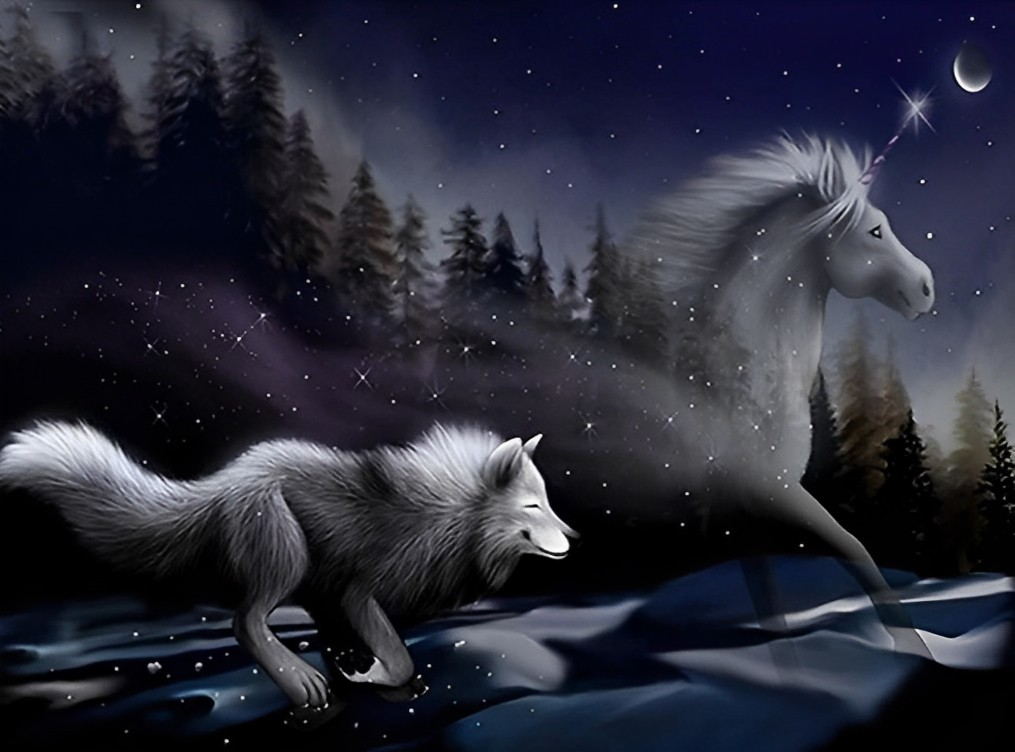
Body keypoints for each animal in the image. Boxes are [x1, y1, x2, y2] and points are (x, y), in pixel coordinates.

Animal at [0, 421, 577, 711]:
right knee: (247, 621)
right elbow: (398, 655)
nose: (574, 538)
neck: (452, 514)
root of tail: (223, 482)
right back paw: (301, 685)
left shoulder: (338, 598)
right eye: (532, 506)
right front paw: (371, 673)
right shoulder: (360, 591)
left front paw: (358, 670)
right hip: (286, 552)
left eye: (549, 501)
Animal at [625, 134, 936, 659]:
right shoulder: (776, 493)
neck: (744, 379)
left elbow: (771, 607)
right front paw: (912, 645)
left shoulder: (746, 523)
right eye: (875, 231)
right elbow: (854, 547)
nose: (927, 287)